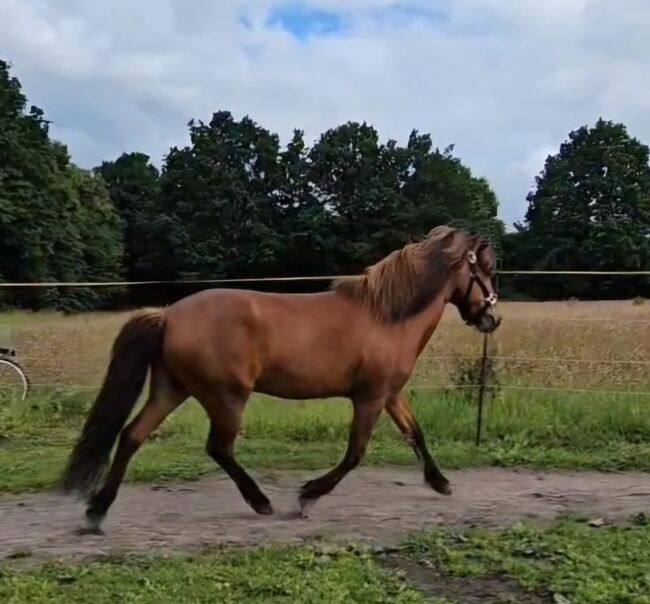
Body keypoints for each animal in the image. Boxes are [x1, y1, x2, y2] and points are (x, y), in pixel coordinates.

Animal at [61, 224, 501, 533]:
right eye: (485, 268)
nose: (492, 319)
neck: (387, 316)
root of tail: (169, 315)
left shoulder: (390, 395)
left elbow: (416, 434)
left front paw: (441, 483)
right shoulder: (370, 398)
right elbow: (355, 454)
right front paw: (307, 496)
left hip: (173, 389)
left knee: (132, 435)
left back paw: (97, 511)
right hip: (226, 396)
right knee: (218, 447)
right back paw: (261, 502)